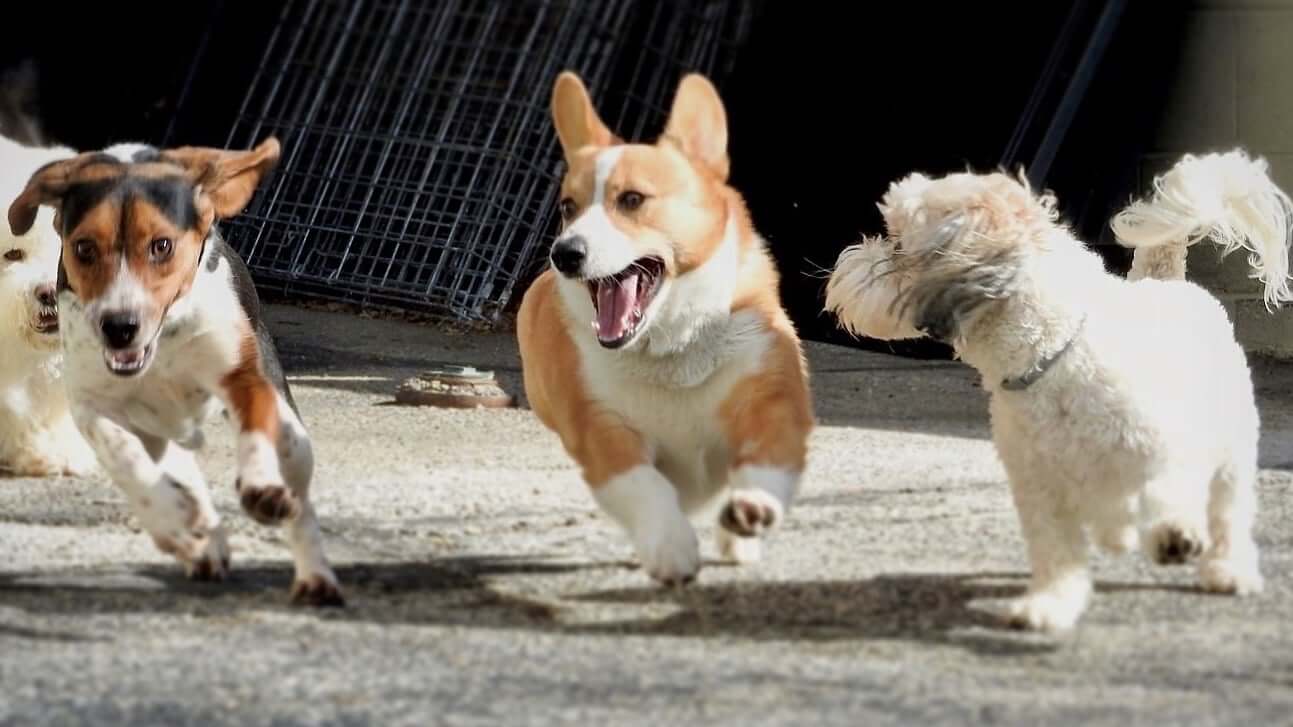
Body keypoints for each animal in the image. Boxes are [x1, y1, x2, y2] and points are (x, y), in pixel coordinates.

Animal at [822, 150, 1287, 631]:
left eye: (897, 245)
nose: (845, 260)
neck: (1053, 355)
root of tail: (1166, 281)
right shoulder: (1039, 487)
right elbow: (1056, 550)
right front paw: (1051, 602)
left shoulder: (1168, 443)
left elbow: (1169, 488)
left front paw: (1173, 532)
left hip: (1231, 446)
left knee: (1226, 511)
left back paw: (1226, 568)